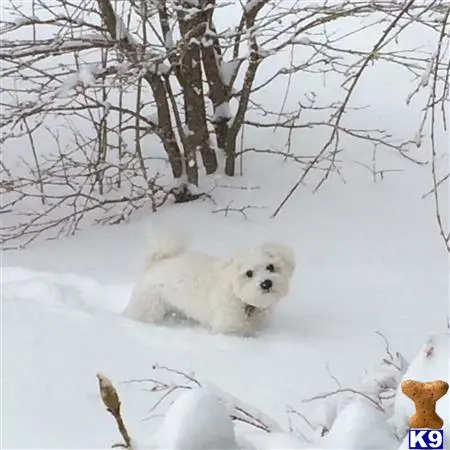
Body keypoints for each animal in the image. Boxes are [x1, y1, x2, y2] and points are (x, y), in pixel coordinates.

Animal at [122, 236, 296, 334]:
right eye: (249, 273)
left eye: (271, 267)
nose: (266, 283)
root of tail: (157, 263)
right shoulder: (227, 329)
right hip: (148, 308)